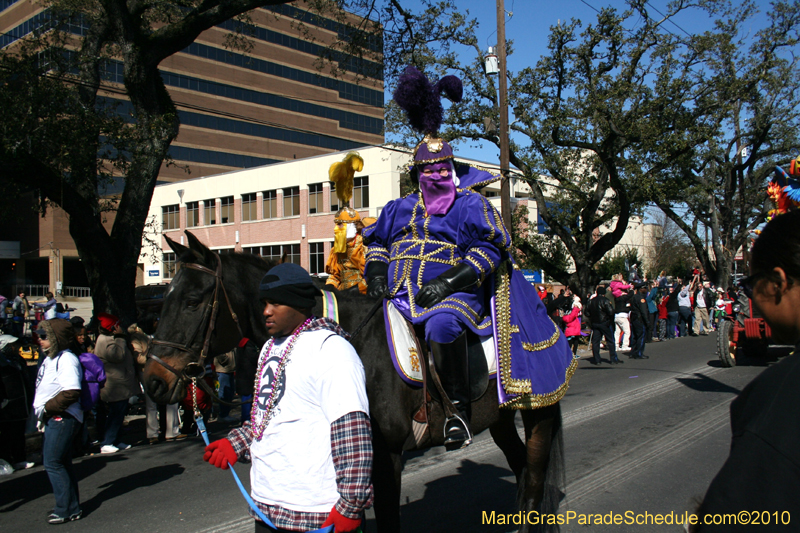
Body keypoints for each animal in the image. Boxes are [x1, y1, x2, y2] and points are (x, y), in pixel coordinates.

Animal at [144, 231, 564, 528]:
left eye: (193, 301)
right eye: (164, 300)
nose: (153, 381)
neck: (345, 336)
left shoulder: (385, 455)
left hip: (538, 413)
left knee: (533, 482)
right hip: (500, 419)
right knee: (520, 468)